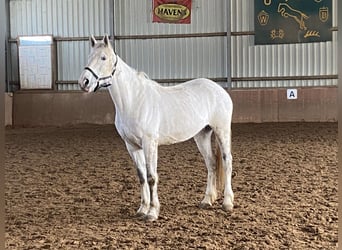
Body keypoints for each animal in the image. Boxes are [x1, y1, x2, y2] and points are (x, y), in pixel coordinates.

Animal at [79, 34, 234, 221]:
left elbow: (152, 177)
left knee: (227, 161)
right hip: (202, 135)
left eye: (103, 57)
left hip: (221, 130)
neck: (134, 100)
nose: (84, 82)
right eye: (89, 56)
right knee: (211, 163)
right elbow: (142, 177)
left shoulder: (149, 143)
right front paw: (142, 209)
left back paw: (227, 203)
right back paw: (207, 200)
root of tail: (219, 90)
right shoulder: (132, 146)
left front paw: (152, 212)